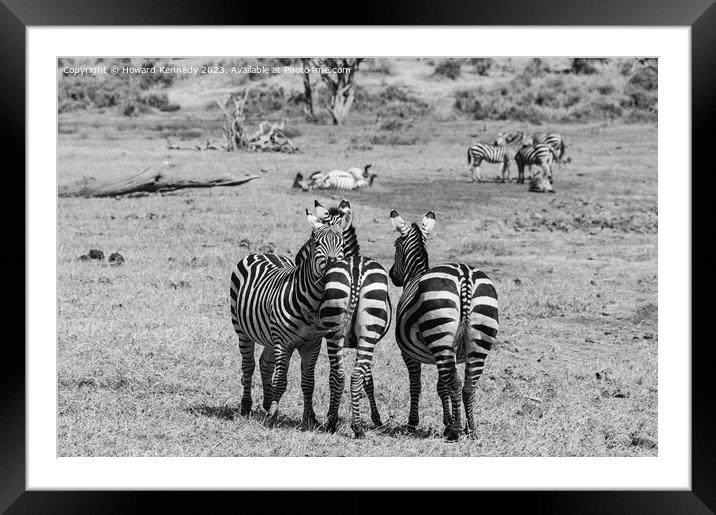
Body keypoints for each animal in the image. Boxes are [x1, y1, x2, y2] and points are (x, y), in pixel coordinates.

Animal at [229, 208, 350, 430]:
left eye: (342, 244)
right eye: (317, 243)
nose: (333, 264)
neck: (312, 303)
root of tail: (263, 252)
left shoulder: (312, 344)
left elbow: (308, 382)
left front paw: (309, 417)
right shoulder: (283, 343)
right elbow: (281, 381)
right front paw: (273, 417)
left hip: (269, 334)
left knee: (265, 363)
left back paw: (267, 403)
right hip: (243, 331)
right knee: (249, 365)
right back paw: (246, 406)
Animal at [314, 200, 392, 438]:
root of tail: (356, 269)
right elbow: (369, 379)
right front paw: (376, 418)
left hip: (334, 331)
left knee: (337, 375)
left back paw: (333, 422)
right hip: (367, 334)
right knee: (355, 376)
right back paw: (355, 427)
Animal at [388, 212, 500, 442]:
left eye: (396, 245)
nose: (391, 275)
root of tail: (465, 276)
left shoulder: (409, 355)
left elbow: (417, 386)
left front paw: (413, 423)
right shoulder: (446, 354)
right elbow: (442, 386)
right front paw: (448, 422)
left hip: (440, 336)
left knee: (456, 383)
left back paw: (456, 430)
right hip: (476, 338)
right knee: (468, 385)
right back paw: (471, 429)